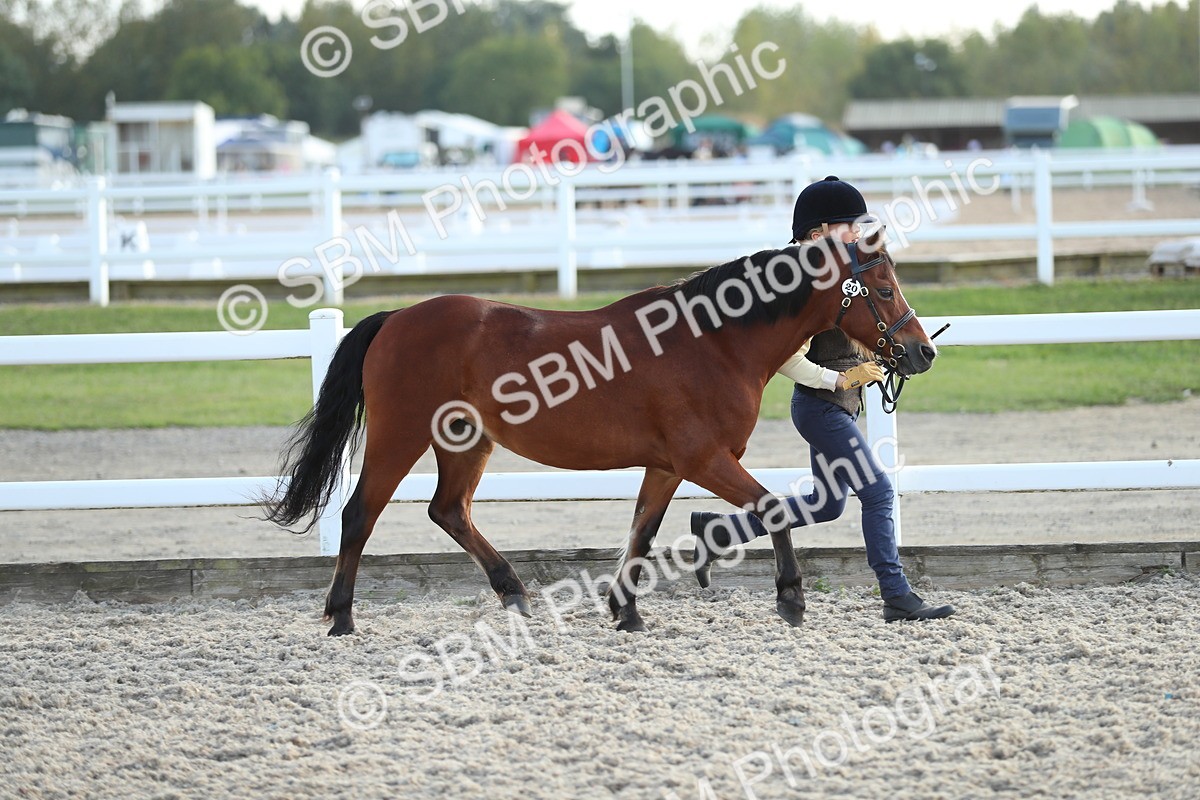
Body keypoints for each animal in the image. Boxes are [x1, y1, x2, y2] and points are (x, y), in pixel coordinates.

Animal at [262, 229, 936, 635]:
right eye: (882, 288)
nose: (921, 351)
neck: (713, 341)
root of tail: (397, 317)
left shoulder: (666, 466)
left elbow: (642, 532)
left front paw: (626, 610)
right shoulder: (704, 459)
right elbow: (771, 508)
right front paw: (791, 598)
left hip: (467, 442)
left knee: (449, 510)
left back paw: (514, 594)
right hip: (400, 438)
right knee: (360, 515)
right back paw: (342, 618)